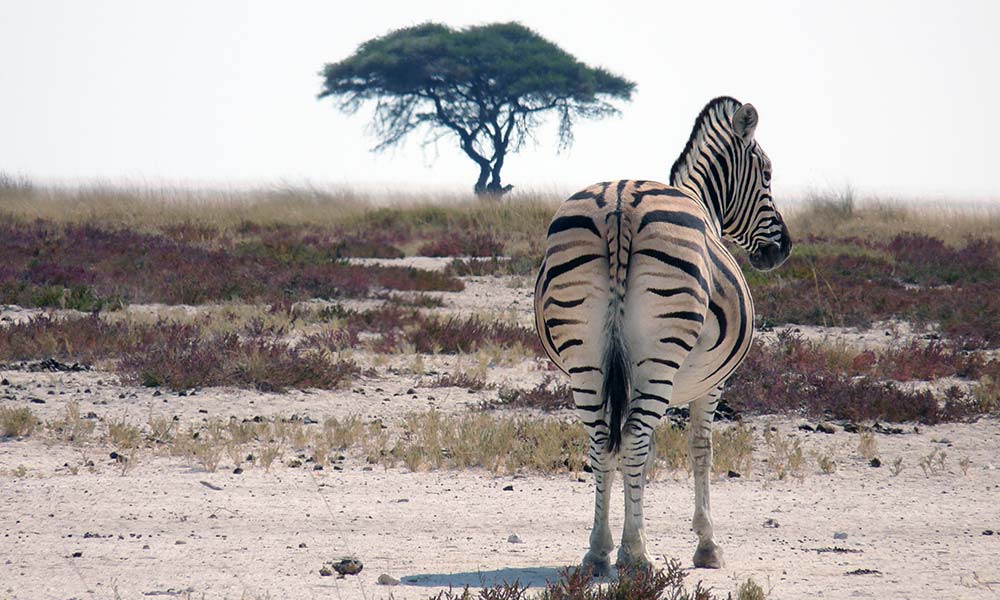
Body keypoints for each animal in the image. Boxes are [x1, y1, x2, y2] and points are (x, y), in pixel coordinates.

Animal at [528, 96, 792, 576]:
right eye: (766, 172)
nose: (783, 249)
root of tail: (619, 201)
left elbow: (640, 455)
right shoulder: (711, 382)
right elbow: (700, 447)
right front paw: (706, 544)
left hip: (586, 358)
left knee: (602, 439)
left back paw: (598, 552)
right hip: (660, 354)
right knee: (631, 437)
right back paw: (636, 556)